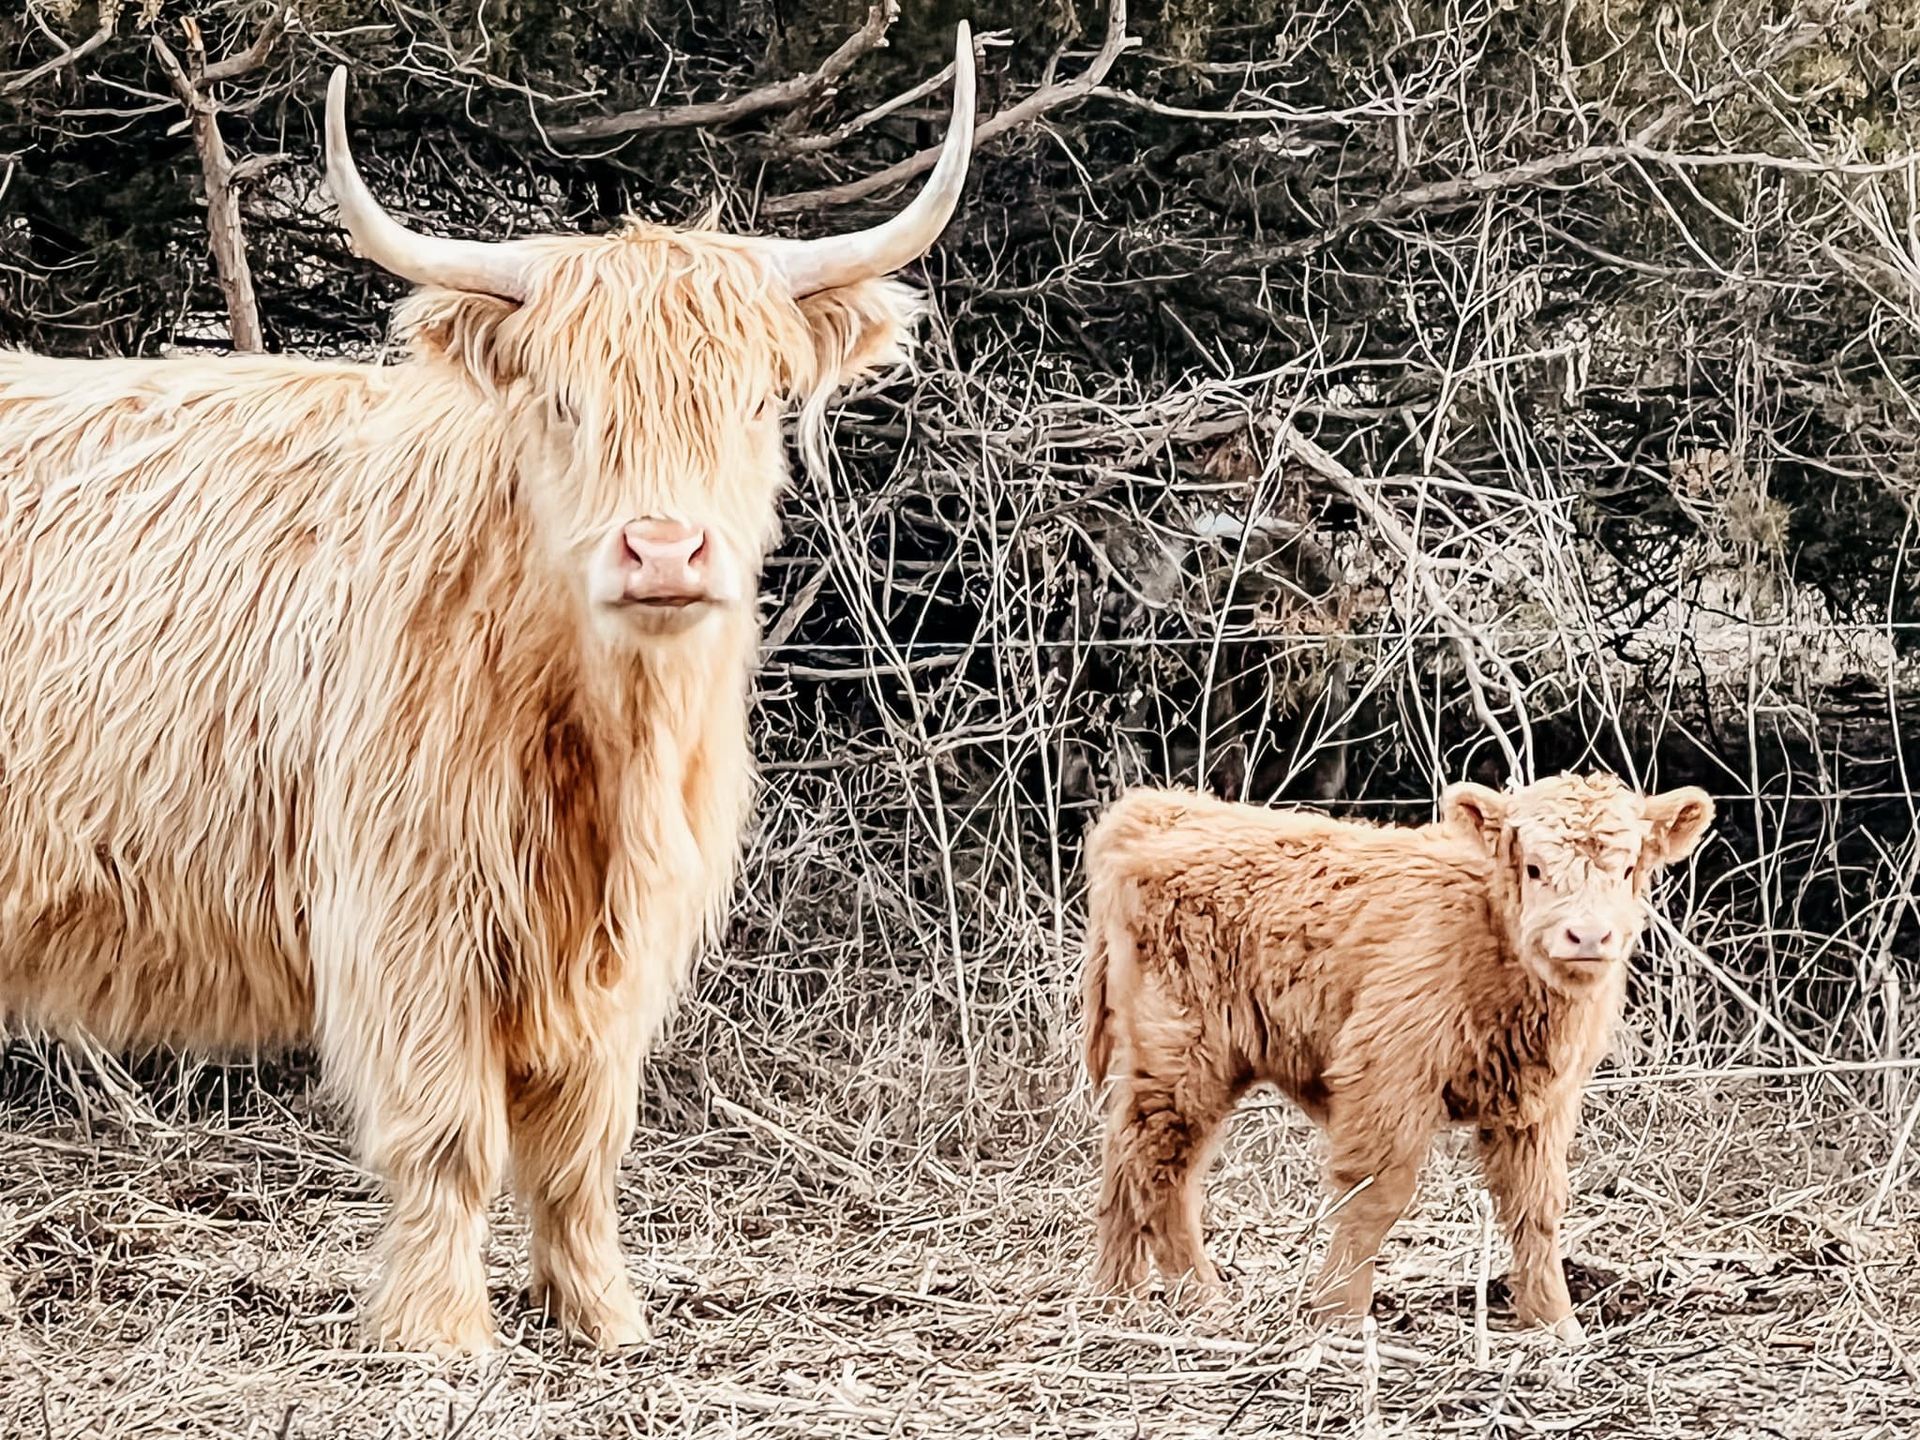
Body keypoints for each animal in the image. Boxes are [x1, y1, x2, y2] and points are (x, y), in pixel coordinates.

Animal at [0, 26, 976, 1355]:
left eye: (753, 402)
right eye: (566, 404)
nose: (663, 551)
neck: (606, 744)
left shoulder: (618, 946)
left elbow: (582, 1142)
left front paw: (603, 1314)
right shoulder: (412, 905)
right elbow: (452, 1133)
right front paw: (442, 1332)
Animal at [1080, 773, 1714, 1342]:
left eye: (1627, 869)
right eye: (1534, 868)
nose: (1587, 937)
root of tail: (1160, 810)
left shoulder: (1543, 1102)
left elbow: (1536, 1206)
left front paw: (1558, 1324)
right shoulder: (1388, 1071)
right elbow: (1374, 1196)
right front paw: (1340, 1318)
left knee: (1131, 1160)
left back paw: (1127, 1298)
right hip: (1184, 1053)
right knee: (1157, 1164)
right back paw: (1185, 1297)